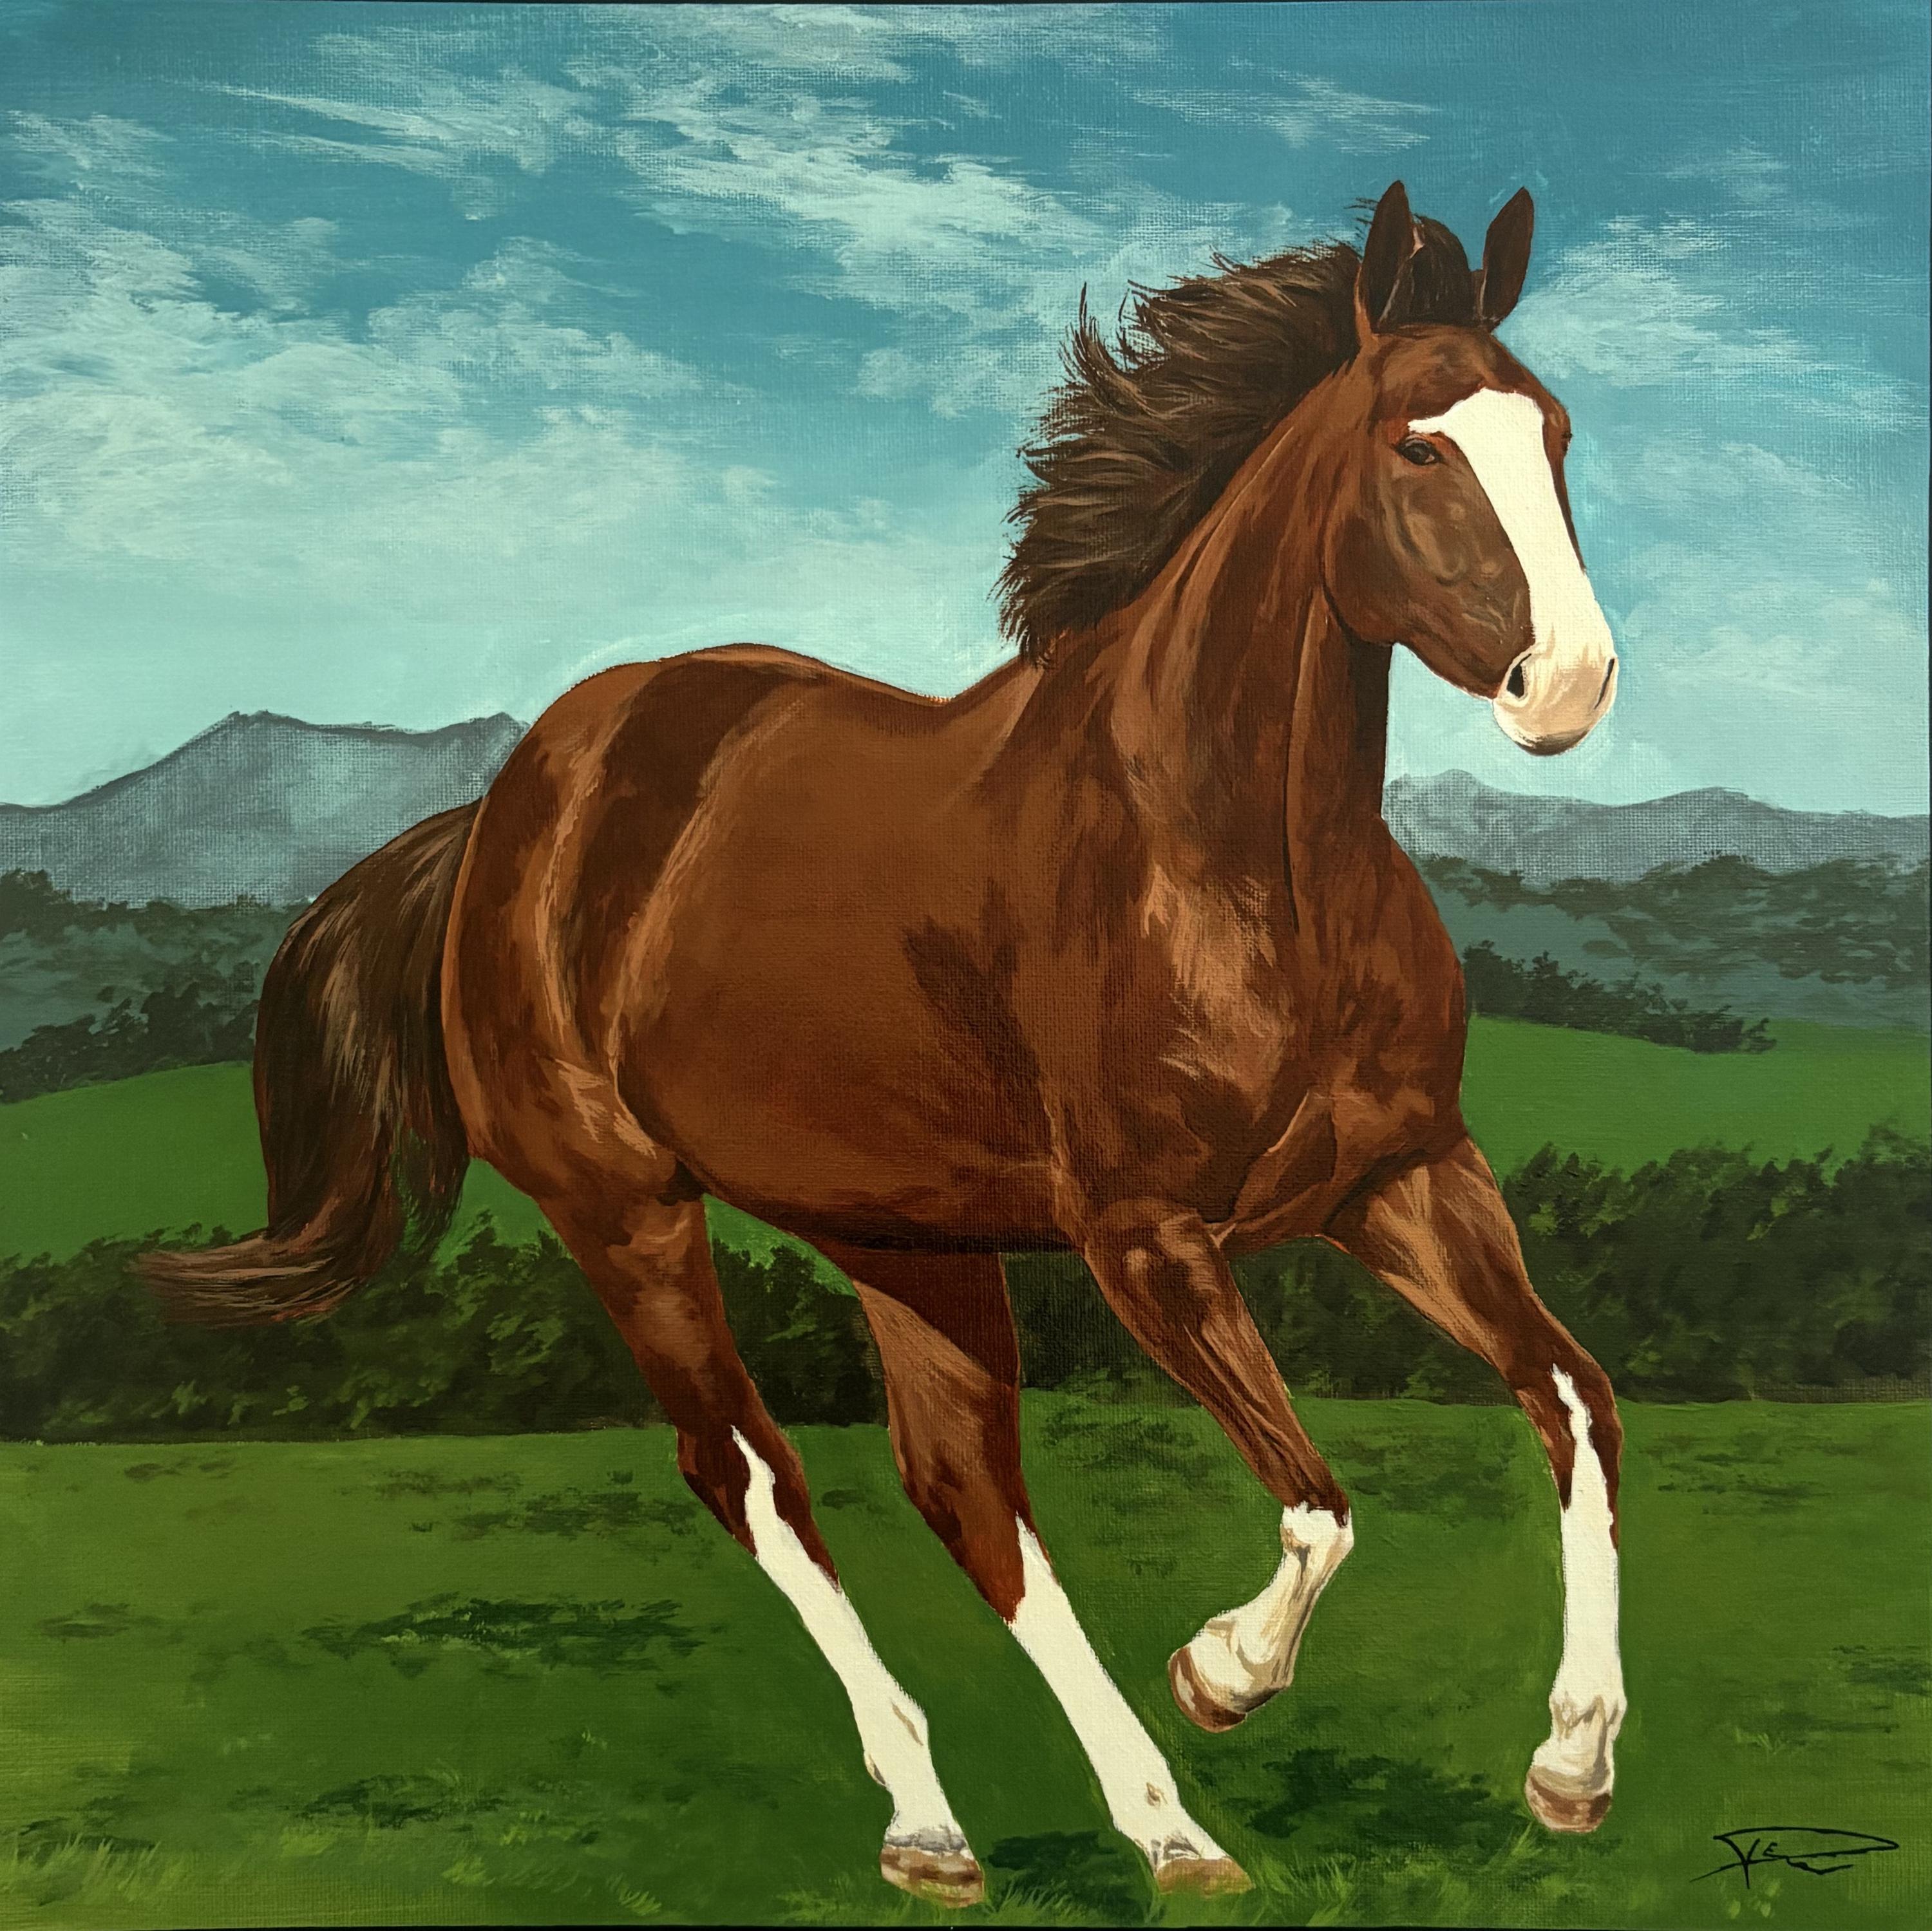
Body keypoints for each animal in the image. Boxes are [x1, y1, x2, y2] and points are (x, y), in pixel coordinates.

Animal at [144, 181, 1627, 1907]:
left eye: (1558, 432)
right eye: (1416, 445)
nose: (1567, 684)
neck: (1228, 856)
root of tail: (510, 806)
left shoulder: (1399, 1175)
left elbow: (1577, 1404)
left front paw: (1572, 1763)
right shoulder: (1145, 1233)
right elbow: (1320, 1502)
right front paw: (1223, 1671)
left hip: (903, 1234)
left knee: (966, 1496)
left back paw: (1150, 1825)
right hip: (624, 1210)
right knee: (756, 1477)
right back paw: (952, 1820)